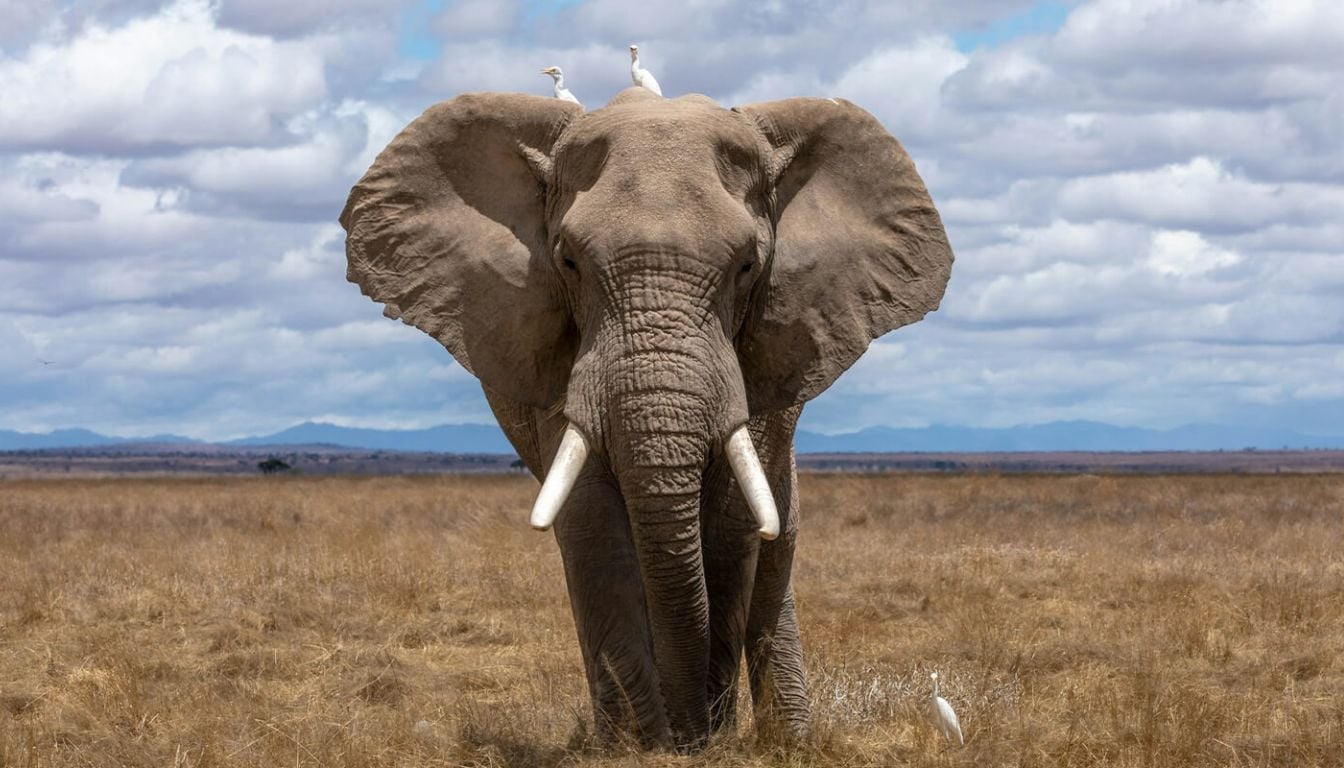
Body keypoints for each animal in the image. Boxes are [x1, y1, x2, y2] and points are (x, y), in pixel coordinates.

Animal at [339, 87, 953, 751]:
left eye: (747, 266)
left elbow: (732, 526)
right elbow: (592, 524)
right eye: (569, 262)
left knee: (775, 544)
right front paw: (642, 746)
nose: (691, 736)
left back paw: (788, 741)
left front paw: (705, 740)